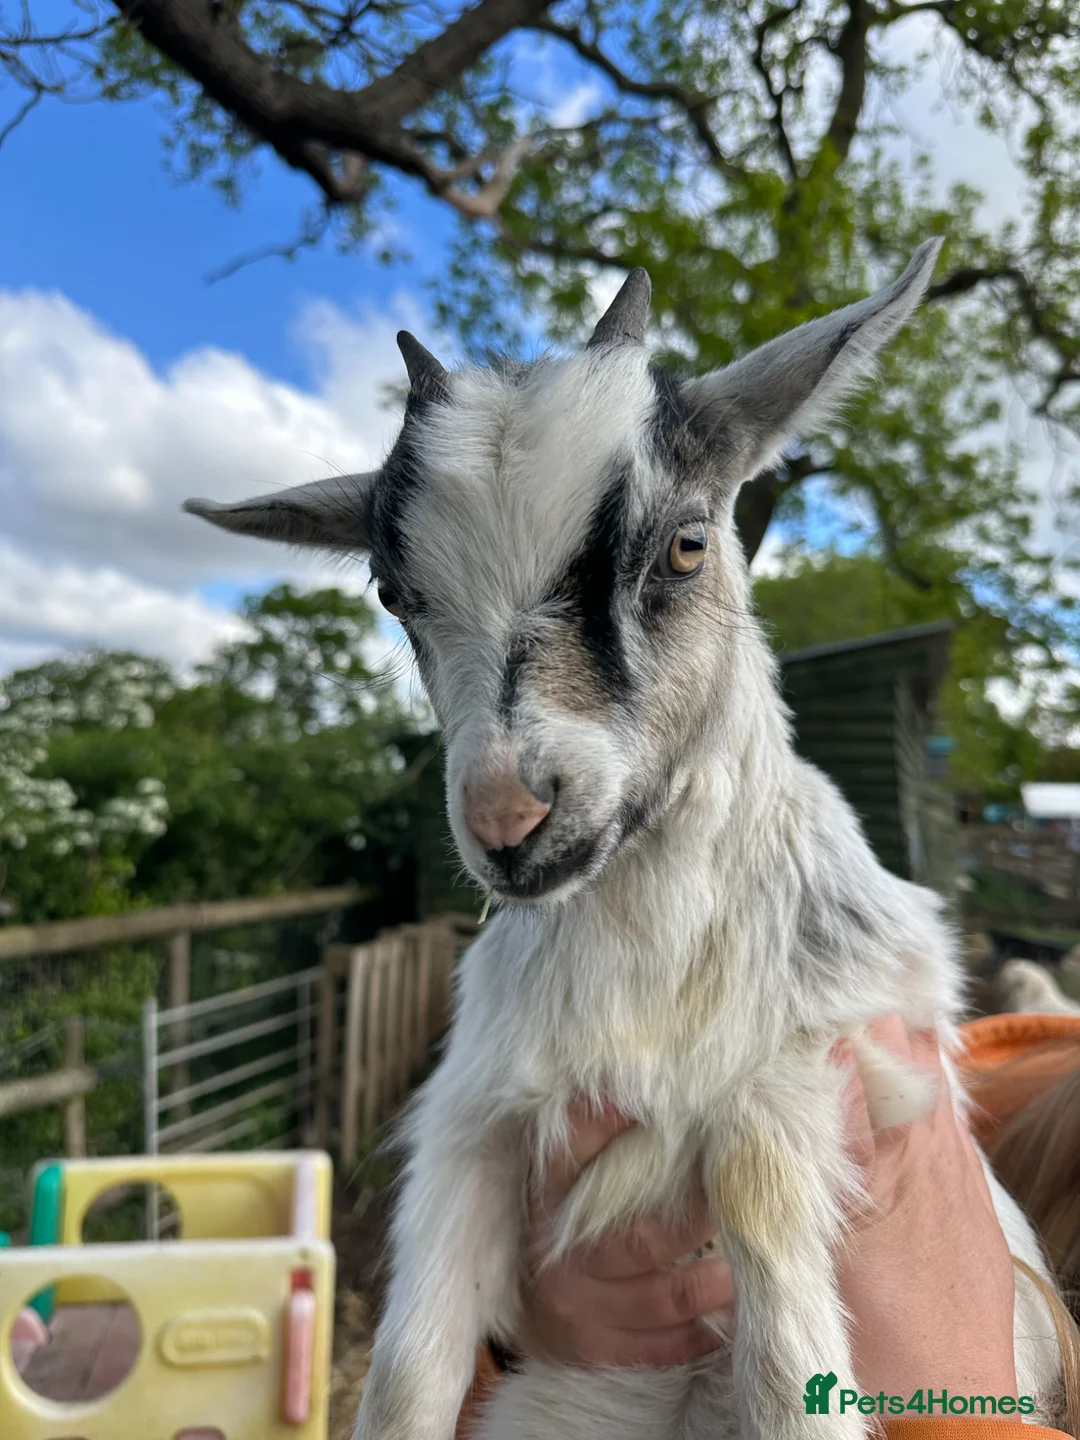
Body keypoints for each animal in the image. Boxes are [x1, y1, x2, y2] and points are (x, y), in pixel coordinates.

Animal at [184, 240, 1064, 1439]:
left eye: (687, 544)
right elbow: (409, 1370)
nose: (510, 820)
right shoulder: (474, 1118)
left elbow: (782, 1329)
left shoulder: (811, 1079)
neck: (644, 978)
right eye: (393, 590)